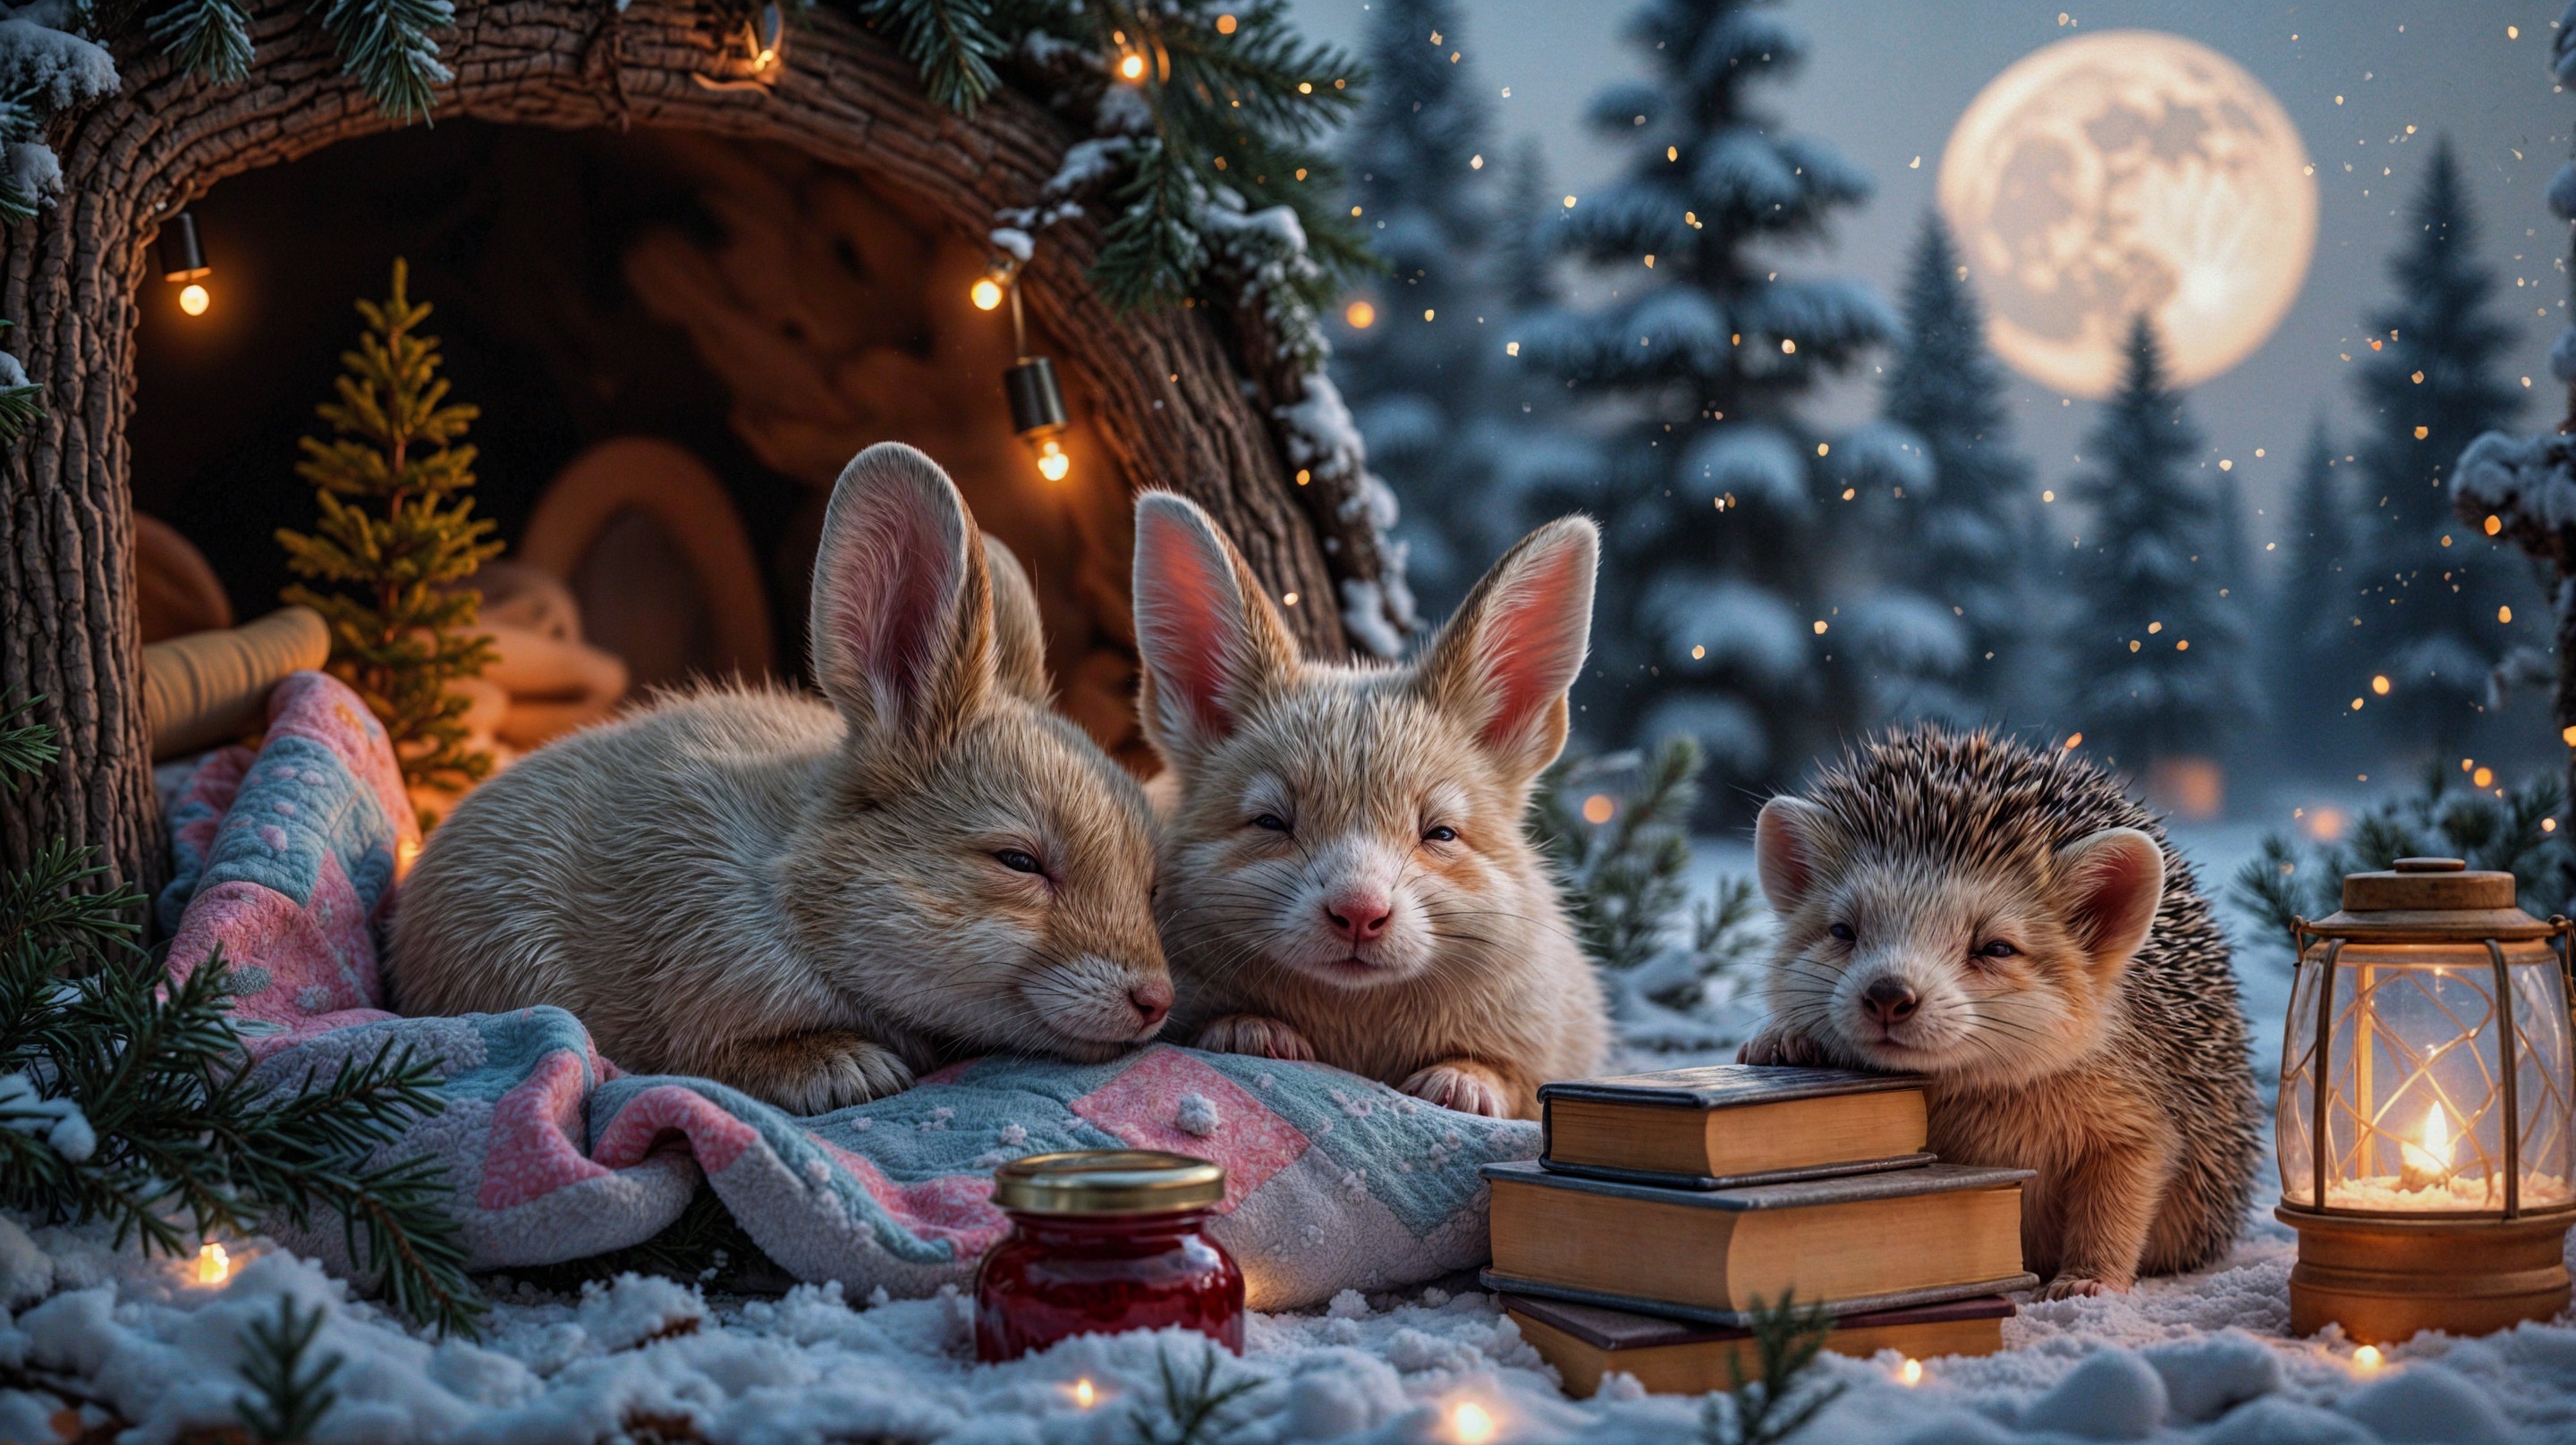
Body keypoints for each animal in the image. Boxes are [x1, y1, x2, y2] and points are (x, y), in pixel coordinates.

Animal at [1130, 491, 1608, 1120]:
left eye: (1441, 833)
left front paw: (1461, 1083)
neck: (1356, 1022)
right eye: (1270, 822)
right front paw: (1249, 1031)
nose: (1359, 913)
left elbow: (1510, 1079)